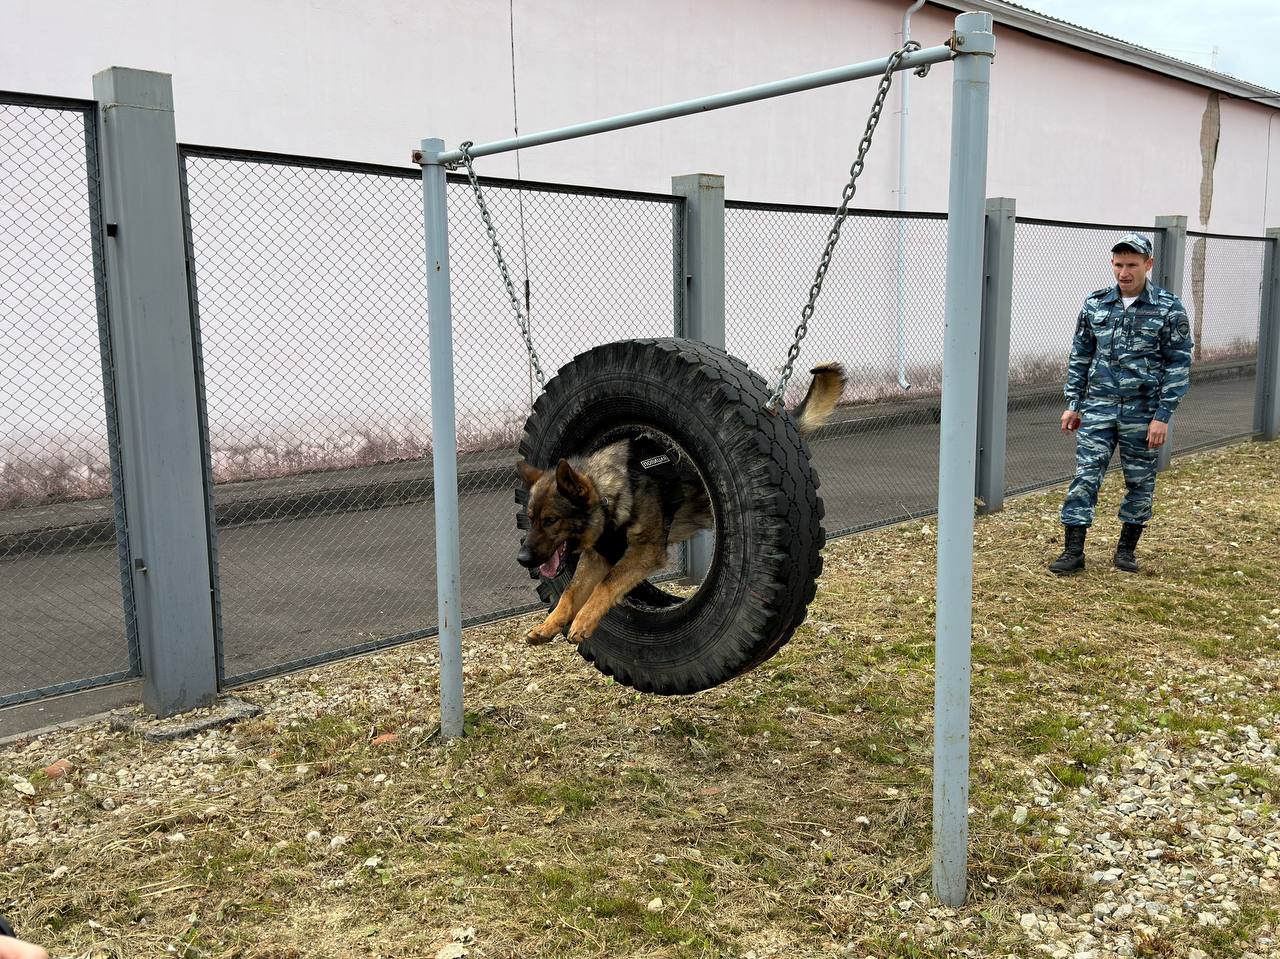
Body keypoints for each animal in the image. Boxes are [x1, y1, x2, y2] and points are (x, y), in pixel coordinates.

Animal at [514, 363, 844, 647]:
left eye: (551, 520)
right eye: (530, 519)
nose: (522, 558)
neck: (610, 492)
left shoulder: (643, 554)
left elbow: (605, 585)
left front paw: (583, 621)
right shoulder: (598, 557)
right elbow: (570, 593)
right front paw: (548, 625)